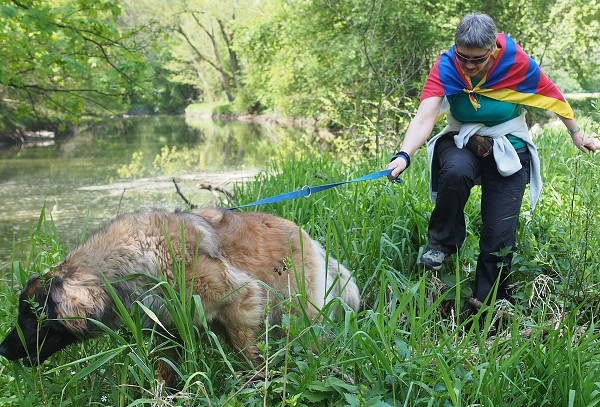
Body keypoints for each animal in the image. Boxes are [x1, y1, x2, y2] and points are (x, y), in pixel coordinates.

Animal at [0, 209, 360, 388]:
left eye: (32, 316)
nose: (2, 350)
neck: (135, 257)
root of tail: (309, 239)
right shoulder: (165, 326)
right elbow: (165, 369)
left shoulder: (240, 298)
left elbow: (246, 354)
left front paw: (257, 382)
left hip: (297, 313)